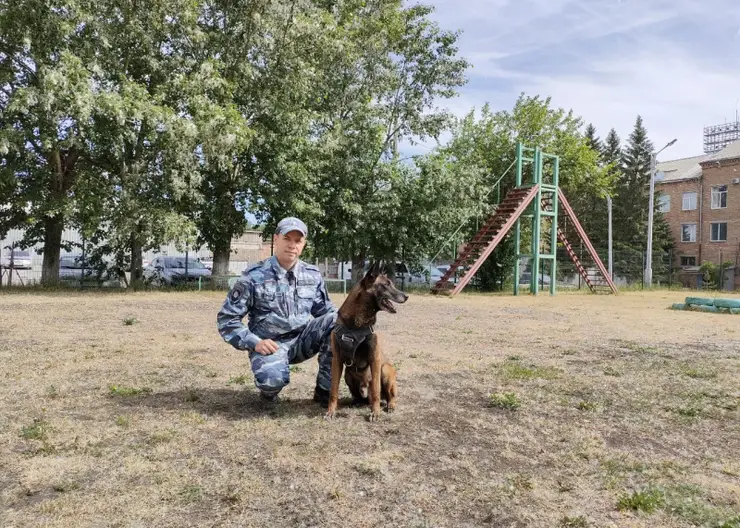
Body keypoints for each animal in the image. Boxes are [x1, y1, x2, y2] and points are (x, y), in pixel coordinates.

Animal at [324, 264, 408, 420]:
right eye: (386, 285)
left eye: (391, 284)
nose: (406, 296)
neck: (355, 325)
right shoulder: (337, 360)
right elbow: (333, 390)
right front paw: (331, 412)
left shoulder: (375, 360)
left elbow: (375, 390)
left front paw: (375, 413)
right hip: (348, 375)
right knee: (360, 398)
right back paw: (355, 402)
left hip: (385, 370)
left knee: (388, 396)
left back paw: (390, 406)